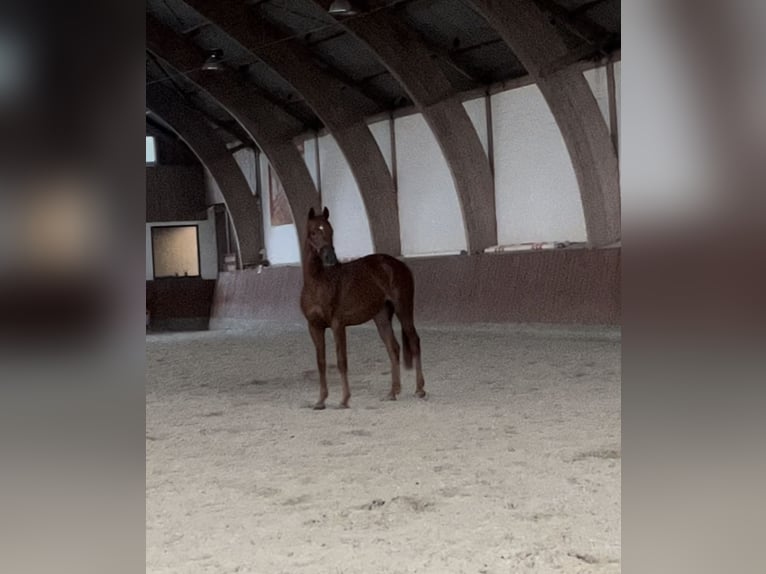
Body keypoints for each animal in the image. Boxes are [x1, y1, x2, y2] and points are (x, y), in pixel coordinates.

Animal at [304, 207, 428, 410]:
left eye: (331, 231)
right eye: (313, 232)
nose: (330, 258)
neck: (318, 283)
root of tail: (398, 264)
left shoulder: (337, 325)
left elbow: (341, 361)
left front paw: (344, 400)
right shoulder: (314, 327)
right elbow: (321, 363)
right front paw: (320, 401)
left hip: (403, 309)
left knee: (414, 342)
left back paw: (419, 389)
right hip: (381, 316)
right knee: (393, 348)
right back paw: (392, 392)